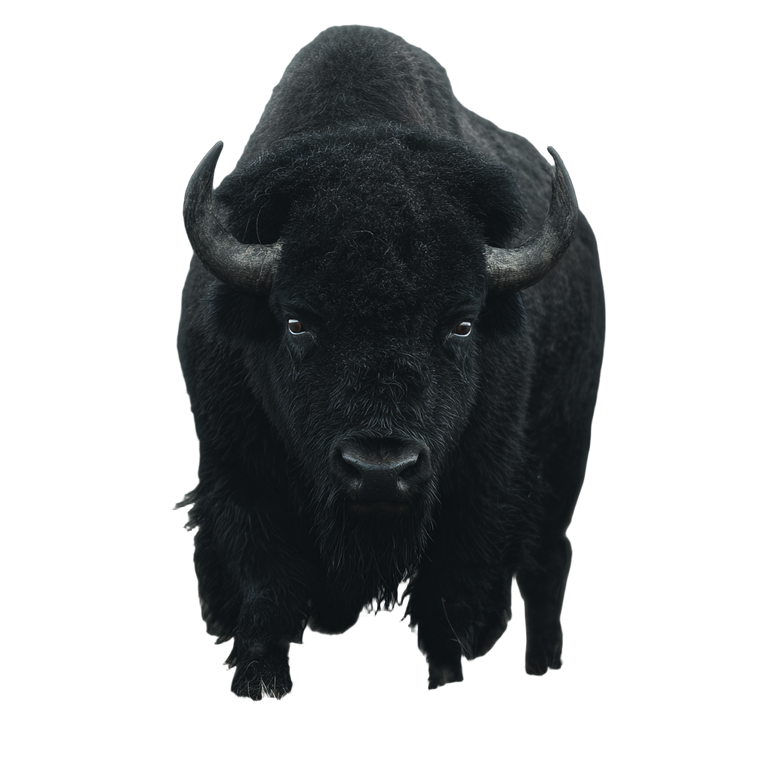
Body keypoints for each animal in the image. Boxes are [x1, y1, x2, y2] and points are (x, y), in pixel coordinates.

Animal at [173, 21, 608, 702]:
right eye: (296, 322)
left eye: (461, 324)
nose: (380, 470)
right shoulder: (237, 467)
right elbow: (266, 580)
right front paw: (259, 680)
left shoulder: (477, 488)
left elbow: (449, 596)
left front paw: (447, 677)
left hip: (564, 453)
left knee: (545, 563)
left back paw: (543, 664)